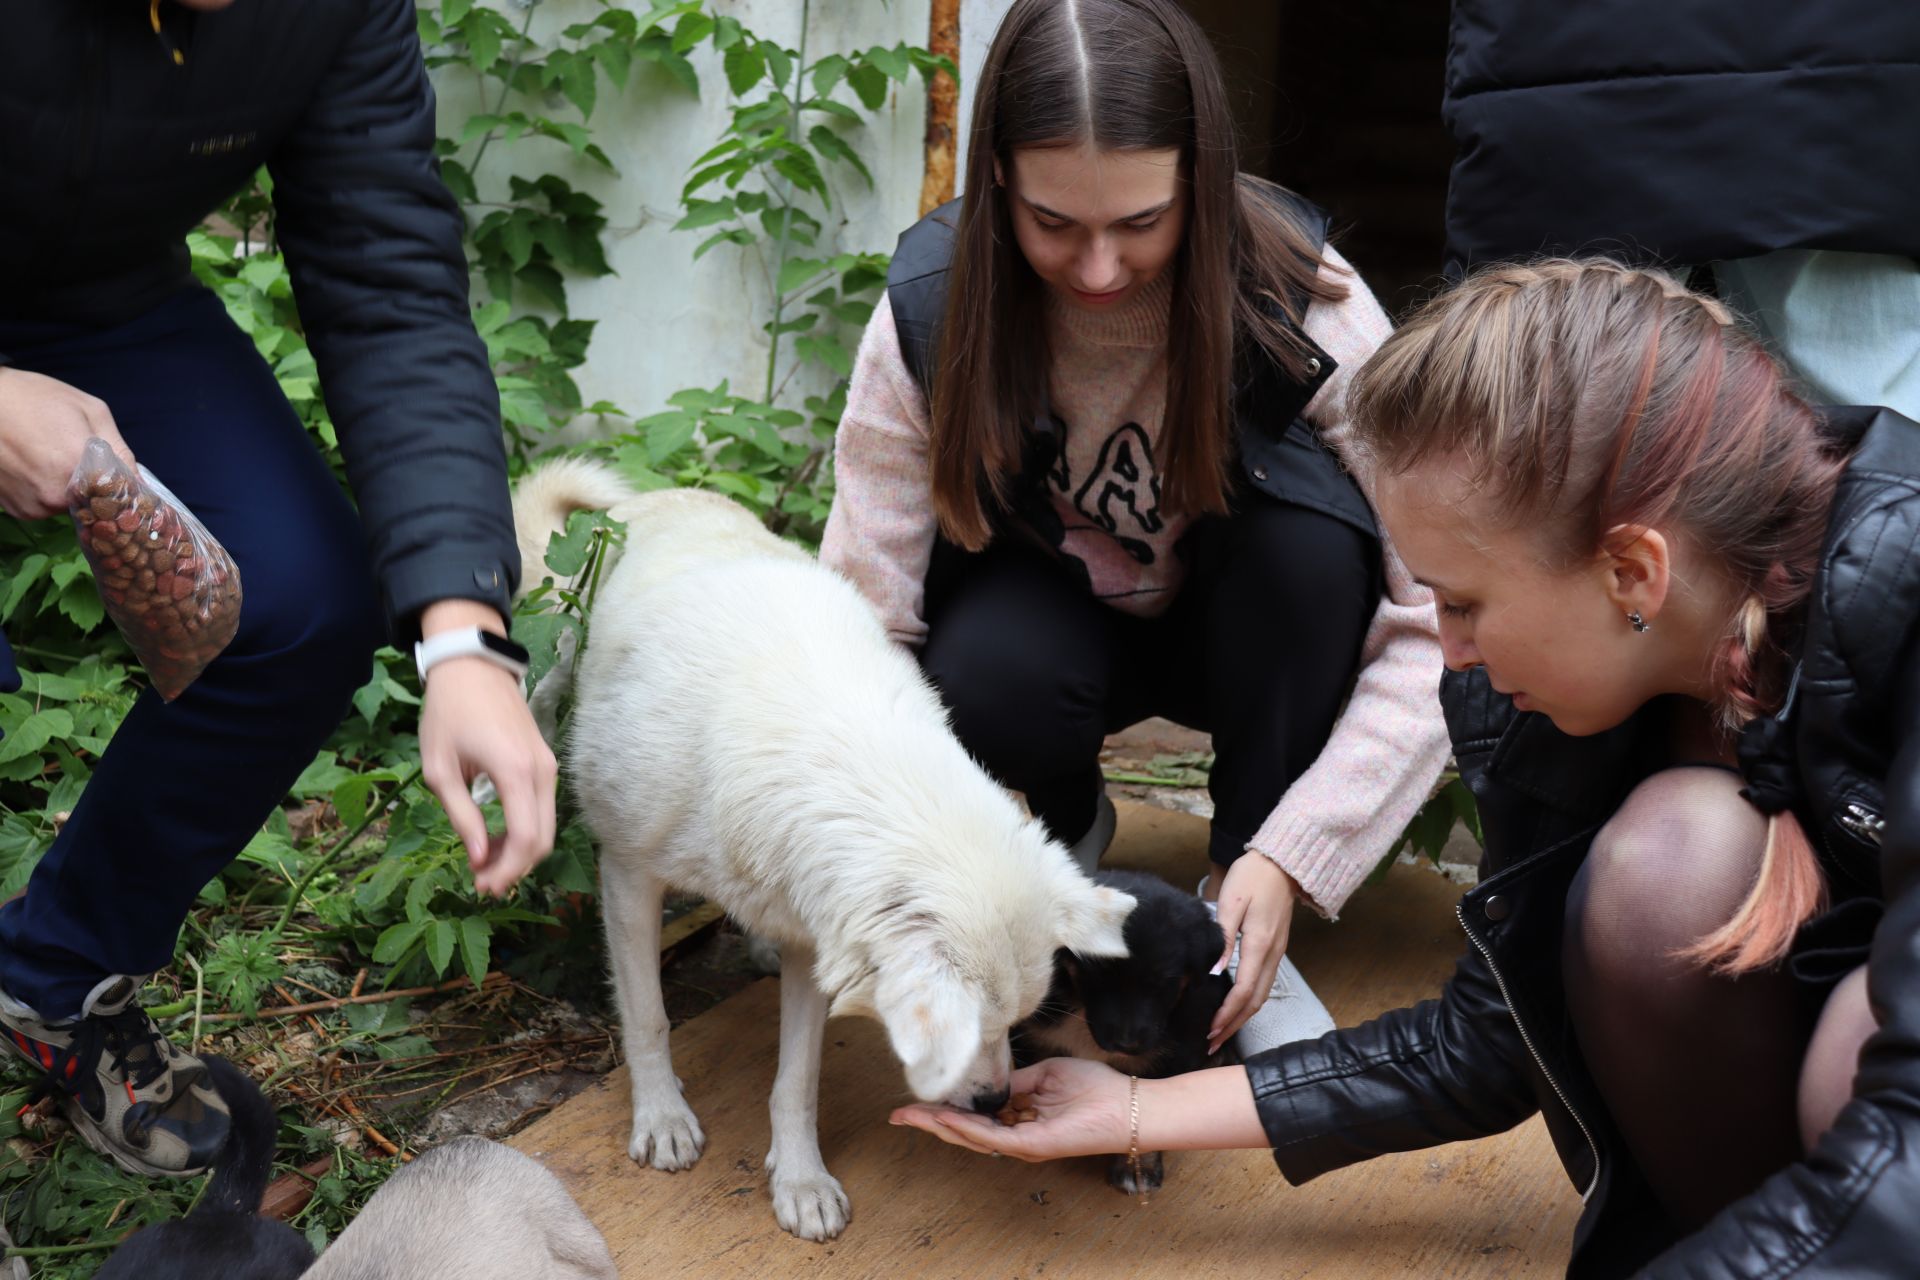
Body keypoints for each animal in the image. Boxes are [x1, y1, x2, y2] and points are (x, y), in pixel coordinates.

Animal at [514, 460, 1136, 1243]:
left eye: (1017, 1025)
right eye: (966, 1032)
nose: (995, 1103)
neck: (834, 752)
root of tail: (655, 499)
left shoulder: (816, 939)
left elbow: (798, 1079)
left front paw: (801, 1180)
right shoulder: (628, 877)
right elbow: (648, 1017)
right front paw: (661, 1116)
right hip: (550, 681)